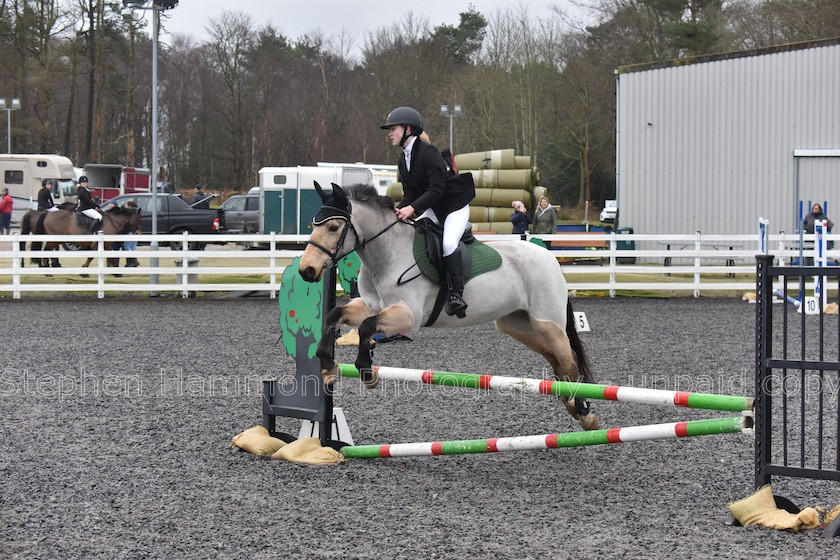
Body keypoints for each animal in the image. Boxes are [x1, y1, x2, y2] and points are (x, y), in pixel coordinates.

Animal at [298, 184, 600, 434]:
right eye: (313, 225)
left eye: (333, 228)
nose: (306, 270)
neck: (389, 253)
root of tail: (550, 257)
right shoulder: (371, 306)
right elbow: (335, 316)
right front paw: (327, 365)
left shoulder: (408, 316)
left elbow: (366, 327)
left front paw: (367, 373)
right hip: (517, 324)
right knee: (556, 359)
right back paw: (570, 403)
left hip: (547, 322)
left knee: (570, 360)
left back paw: (584, 412)